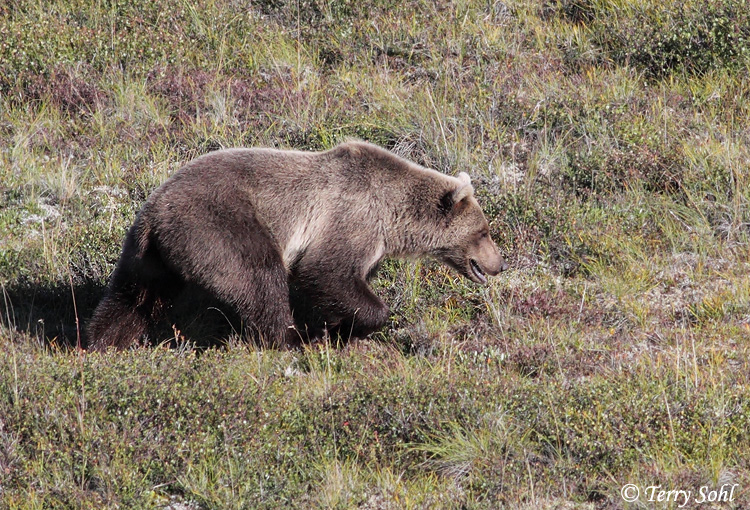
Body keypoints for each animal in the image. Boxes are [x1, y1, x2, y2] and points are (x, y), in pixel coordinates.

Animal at [86, 141, 507, 351]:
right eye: (485, 231)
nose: (498, 264)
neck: (392, 215)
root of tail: (155, 211)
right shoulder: (349, 216)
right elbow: (326, 273)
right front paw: (346, 327)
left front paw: (338, 325)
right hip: (219, 223)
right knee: (259, 277)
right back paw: (289, 337)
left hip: (149, 253)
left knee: (133, 297)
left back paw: (101, 343)